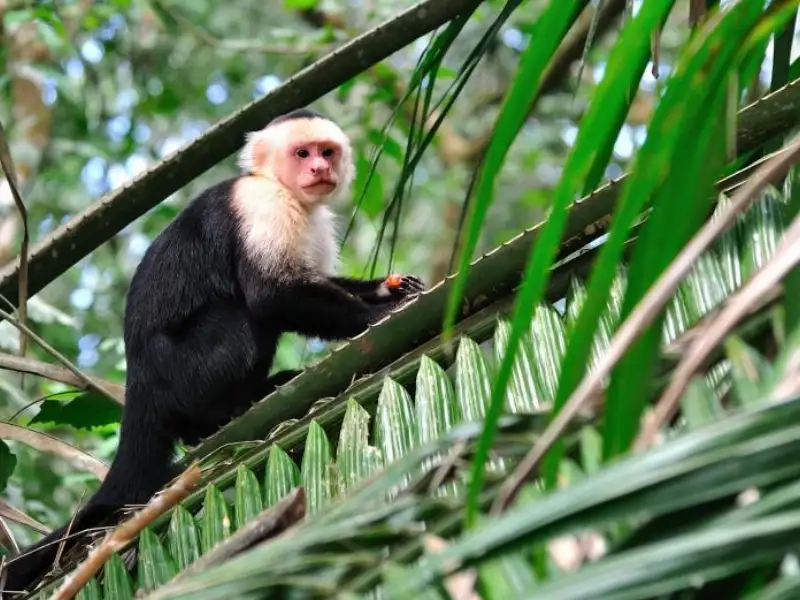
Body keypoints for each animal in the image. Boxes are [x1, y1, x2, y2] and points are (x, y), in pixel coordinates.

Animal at [3, 108, 428, 596]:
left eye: (327, 151)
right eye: (302, 153)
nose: (320, 169)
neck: (279, 187)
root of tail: (139, 384)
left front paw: (390, 288)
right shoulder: (262, 206)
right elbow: (272, 296)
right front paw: (377, 315)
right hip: (183, 369)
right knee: (241, 319)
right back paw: (226, 412)